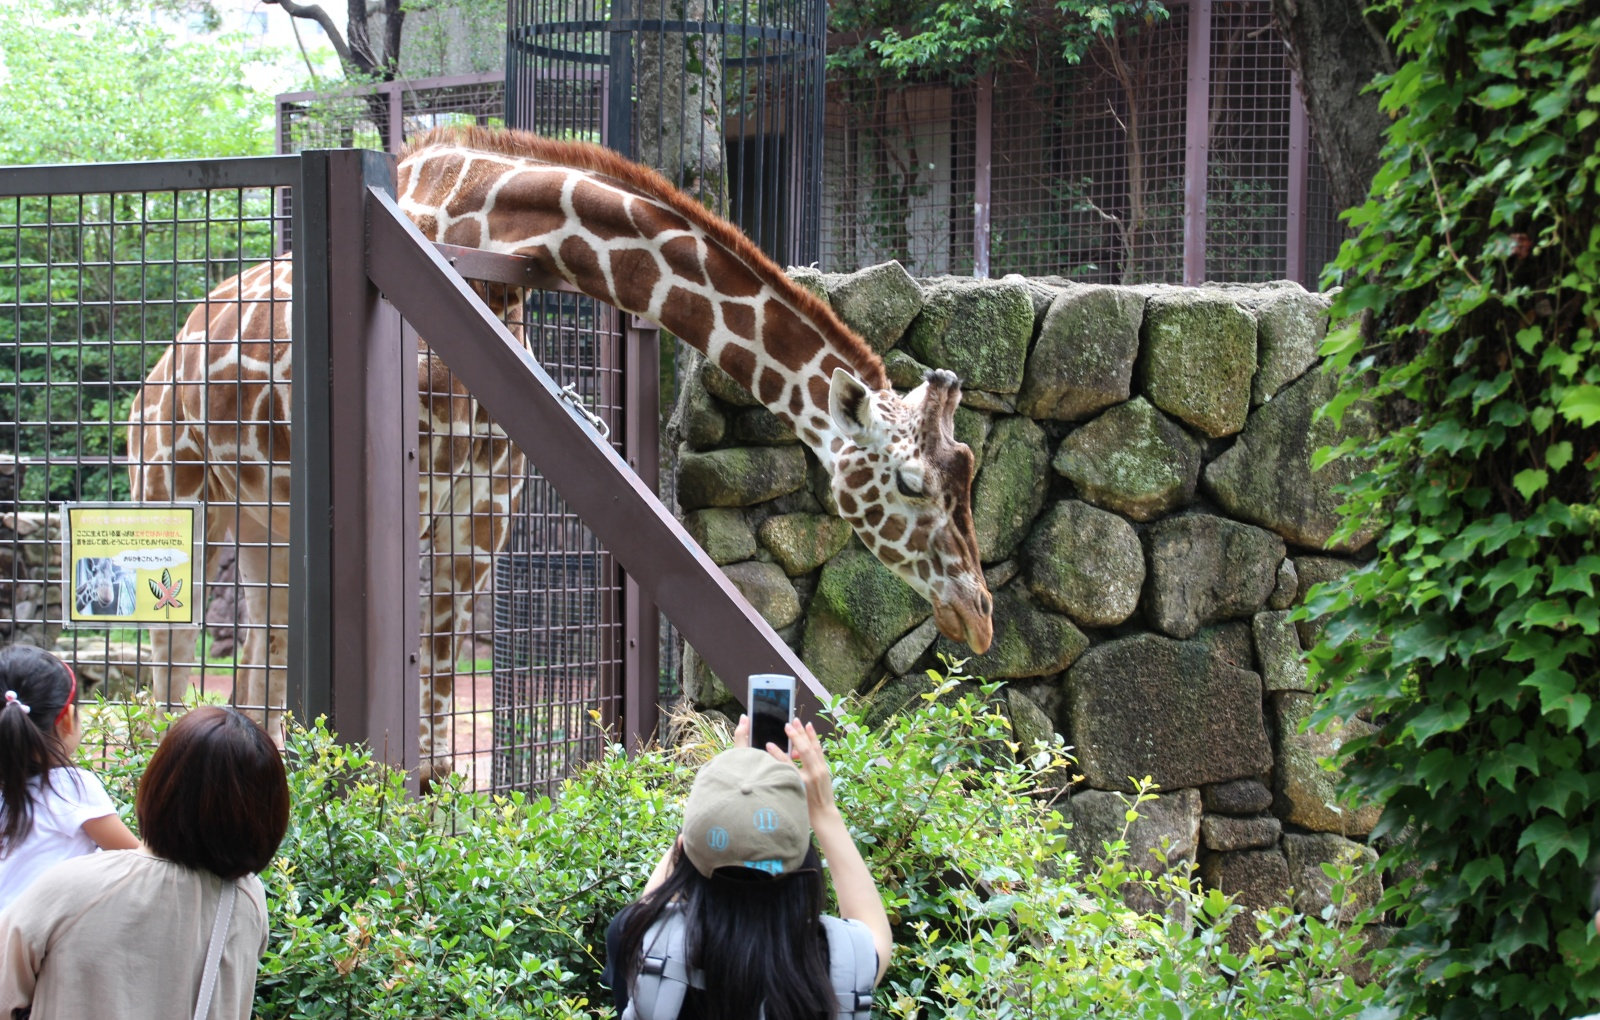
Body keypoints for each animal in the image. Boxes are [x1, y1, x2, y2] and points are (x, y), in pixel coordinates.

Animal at [131, 126, 992, 783]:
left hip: (266, 517)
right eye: (912, 482)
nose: (978, 616)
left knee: (260, 653)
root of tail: (169, 349)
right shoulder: (407, 499)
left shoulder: (483, 512)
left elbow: (438, 722)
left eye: (970, 473)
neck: (482, 239)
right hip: (174, 491)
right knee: (168, 654)